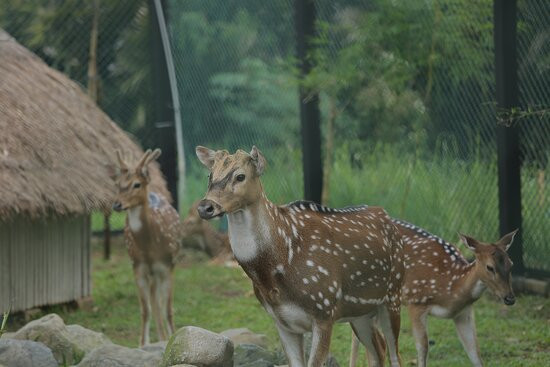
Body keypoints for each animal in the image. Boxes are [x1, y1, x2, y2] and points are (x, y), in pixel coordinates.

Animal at [111, 148, 182, 346]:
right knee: (153, 300)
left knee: (158, 301)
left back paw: (164, 336)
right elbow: (145, 310)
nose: (117, 204)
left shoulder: (167, 266)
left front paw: (173, 338)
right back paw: (160, 337)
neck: (149, 248)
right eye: (117, 184)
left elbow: (168, 309)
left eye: (137, 184)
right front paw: (143, 343)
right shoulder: (138, 267)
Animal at [194, 147, 406, 367]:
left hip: (393, 295)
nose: (205, 207)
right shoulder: (281, 321)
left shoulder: (325, 310)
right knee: (378, 348)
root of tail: (387, 216)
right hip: (360, 312)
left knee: (394, 353)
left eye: (240, 176)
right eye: (210, 175)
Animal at [352, 221, 520, 367]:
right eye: (490, 267)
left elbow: (475, 353)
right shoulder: (416, 301)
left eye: (511, 264)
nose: (510, 298)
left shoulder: (464, 312)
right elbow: (423, 348)